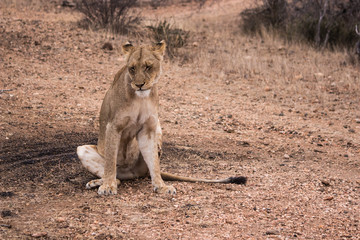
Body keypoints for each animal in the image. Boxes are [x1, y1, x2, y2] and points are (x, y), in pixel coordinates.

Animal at [75, 40, 245, 195]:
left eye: (148, 67)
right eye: (132, 68)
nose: (139, 85)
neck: (140, 98)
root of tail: (132, 173)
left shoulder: (148, 129)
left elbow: (154, 163)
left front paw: (161, 186)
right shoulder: (113, 126)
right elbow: (110, 160)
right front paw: (108, 187)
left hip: (157, 128)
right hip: (81, 149)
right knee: (116, 176)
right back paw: (99, 182)